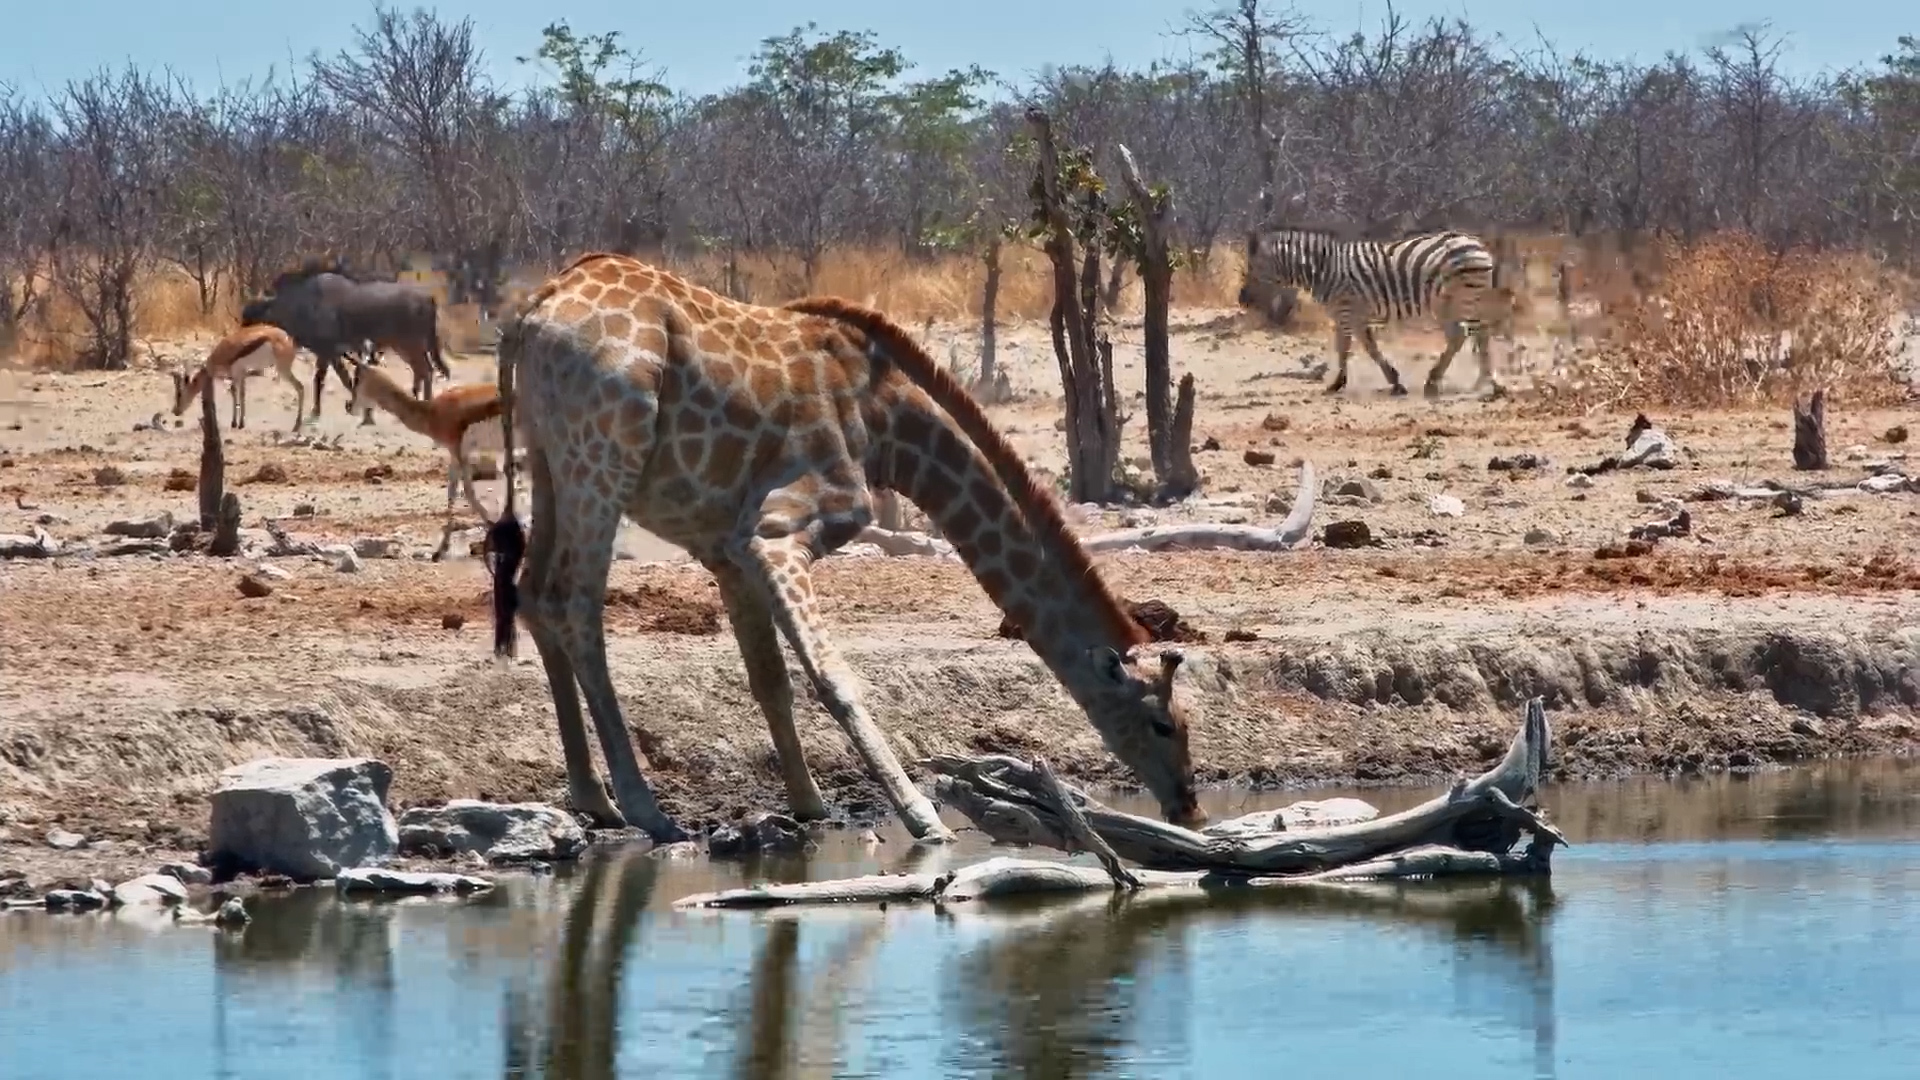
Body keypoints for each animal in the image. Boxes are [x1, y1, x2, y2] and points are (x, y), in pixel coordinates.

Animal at [171, 324, 307, 430]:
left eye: (180, 394)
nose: (176, 411)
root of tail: (288, 339)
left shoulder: (236, 373)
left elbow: (234, 392)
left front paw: (235, 423)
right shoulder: (241, 374)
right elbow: (241, 394)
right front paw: (241, 422)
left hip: (283, 369)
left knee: (300, 387)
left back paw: (297, 425)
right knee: (300, 387)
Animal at [344, 356, 507, 559]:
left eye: (357, 378)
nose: (349, 405)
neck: (431, 412)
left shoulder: (458, 451)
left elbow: (468, 492)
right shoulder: (455, 454)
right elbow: (452, 492)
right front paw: (440, 550)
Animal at [485, 252, 1204, 844]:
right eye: (1164, 725)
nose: (1187, 806)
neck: (888, 425)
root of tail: (533, 313)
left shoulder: (727, 549)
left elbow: (771, 679)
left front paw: (809, 804)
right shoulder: (778, 532)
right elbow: (834, 675)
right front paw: (920, 814)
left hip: (549, 459)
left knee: (533, 593)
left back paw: (594, 798)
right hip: (603, 461)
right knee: (575, 604)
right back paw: (643, 807)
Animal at [1239, 225, 1500, 399]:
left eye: (1254, 268)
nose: (1242, 300)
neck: (1322, 271)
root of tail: (1478, 245)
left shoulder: (1348, 312)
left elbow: (1355, 349)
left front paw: (1340, 384)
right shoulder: (1349, 315)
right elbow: (1357, 348)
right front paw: (1385, 382)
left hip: (1453, 301)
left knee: (1461, 335)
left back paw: (1435, 382)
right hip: (1467, 299)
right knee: (1478, 333)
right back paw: (1490, 383)